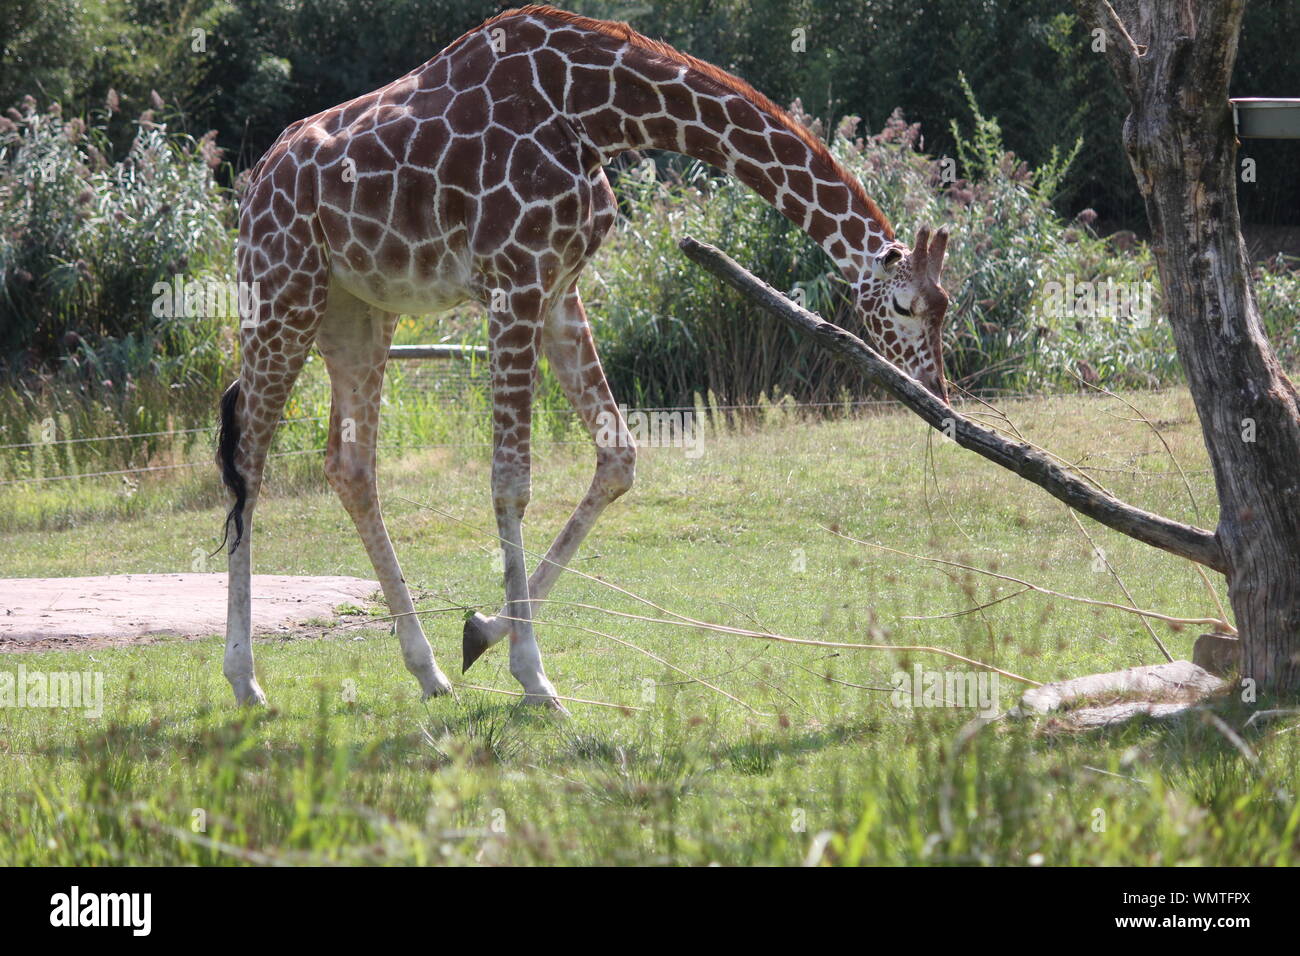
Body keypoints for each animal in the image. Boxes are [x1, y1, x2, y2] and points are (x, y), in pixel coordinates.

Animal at [218, 3, 951, 712]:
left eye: (949, 305)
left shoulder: (558, 287)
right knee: (248, 460)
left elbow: (619, 456)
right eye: (905, 307)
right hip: (281, 290)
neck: (596, 108)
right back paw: (246, 682)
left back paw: (427, 673)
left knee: (349, 467)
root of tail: (253, 185)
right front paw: (533, 676)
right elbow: (510, 481)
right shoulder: (513, 281)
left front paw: (483, 631)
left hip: (359, 310)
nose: (940, 400)